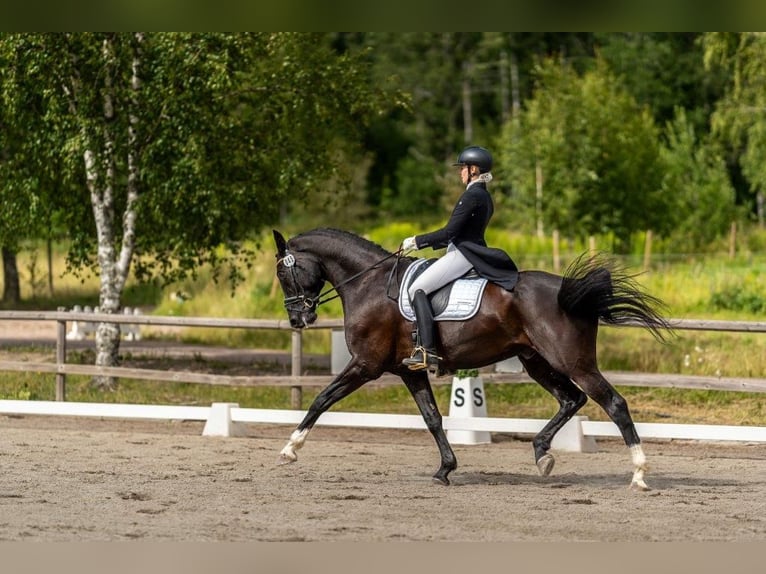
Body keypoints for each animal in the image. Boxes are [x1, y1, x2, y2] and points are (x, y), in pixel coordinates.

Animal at [272, 228, 672, 490]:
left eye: (283, 272)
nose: (297, 320)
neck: (367, 283)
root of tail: (569, 291)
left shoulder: (366, 365)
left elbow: (321, 399)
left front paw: (290, 449)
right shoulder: (409, 371)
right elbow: (432, 418)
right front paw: (445, 470)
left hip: (573, 362)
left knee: (613, 403)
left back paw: (639, 474)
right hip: (536, 361)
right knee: (572, 399)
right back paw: (542, 453)